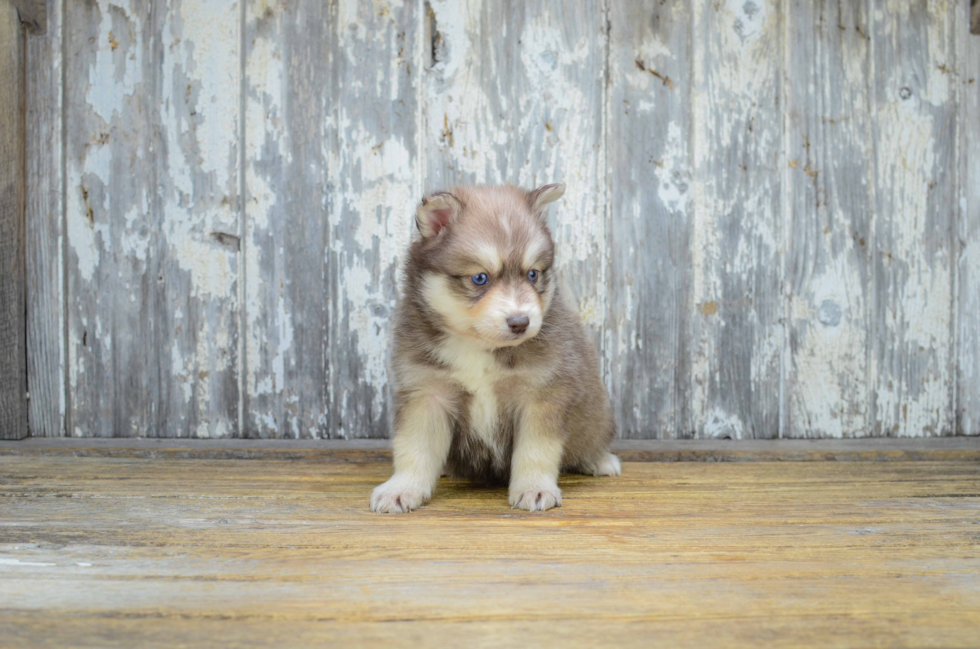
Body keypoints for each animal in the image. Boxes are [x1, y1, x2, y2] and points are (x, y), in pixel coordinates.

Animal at [370, 182, 620, 512]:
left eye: (532, 274)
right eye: (480, 278)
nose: (520, 322)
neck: (478, 346)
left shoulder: (541, 395)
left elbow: (536, 450)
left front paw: (534, 488)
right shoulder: (426, 393)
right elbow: (414, 447)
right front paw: (401, 488)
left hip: (598, 414)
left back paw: (600, 460)